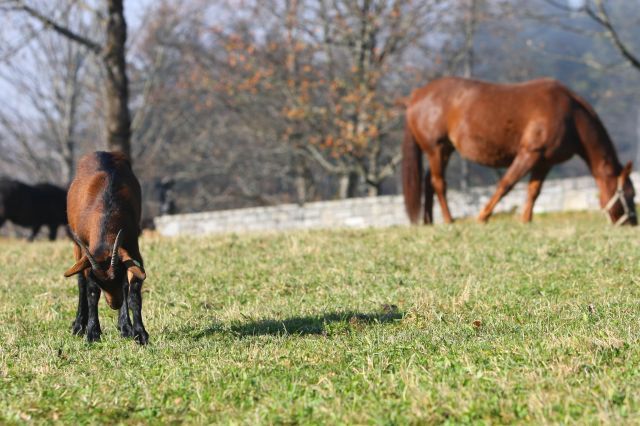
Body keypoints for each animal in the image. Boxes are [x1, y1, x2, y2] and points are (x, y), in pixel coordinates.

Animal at [65, 151, 150, 344]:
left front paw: (138, 332)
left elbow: (133, 291)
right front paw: (92, 332)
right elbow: (91, 291)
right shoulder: (87, 253)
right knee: (80, 282)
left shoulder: (132, 248)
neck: (107, 206)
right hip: (77, 248)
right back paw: (78, 325)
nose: (115, 304)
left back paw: (124, 326)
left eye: (119, 276)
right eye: (100, 282)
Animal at [402, 76, 636, 225]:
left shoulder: (545, 161)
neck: (570, 114)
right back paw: (449, 219)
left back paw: (430, 221)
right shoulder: (529, 154)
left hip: (445, 150)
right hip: (437, 148)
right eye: (629, 194)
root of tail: (416, 94)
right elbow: (506, 184)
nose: (632, 222)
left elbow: (534, 191)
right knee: (438, 183)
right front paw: (483, 216)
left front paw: (526, 220)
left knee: (428, 182)